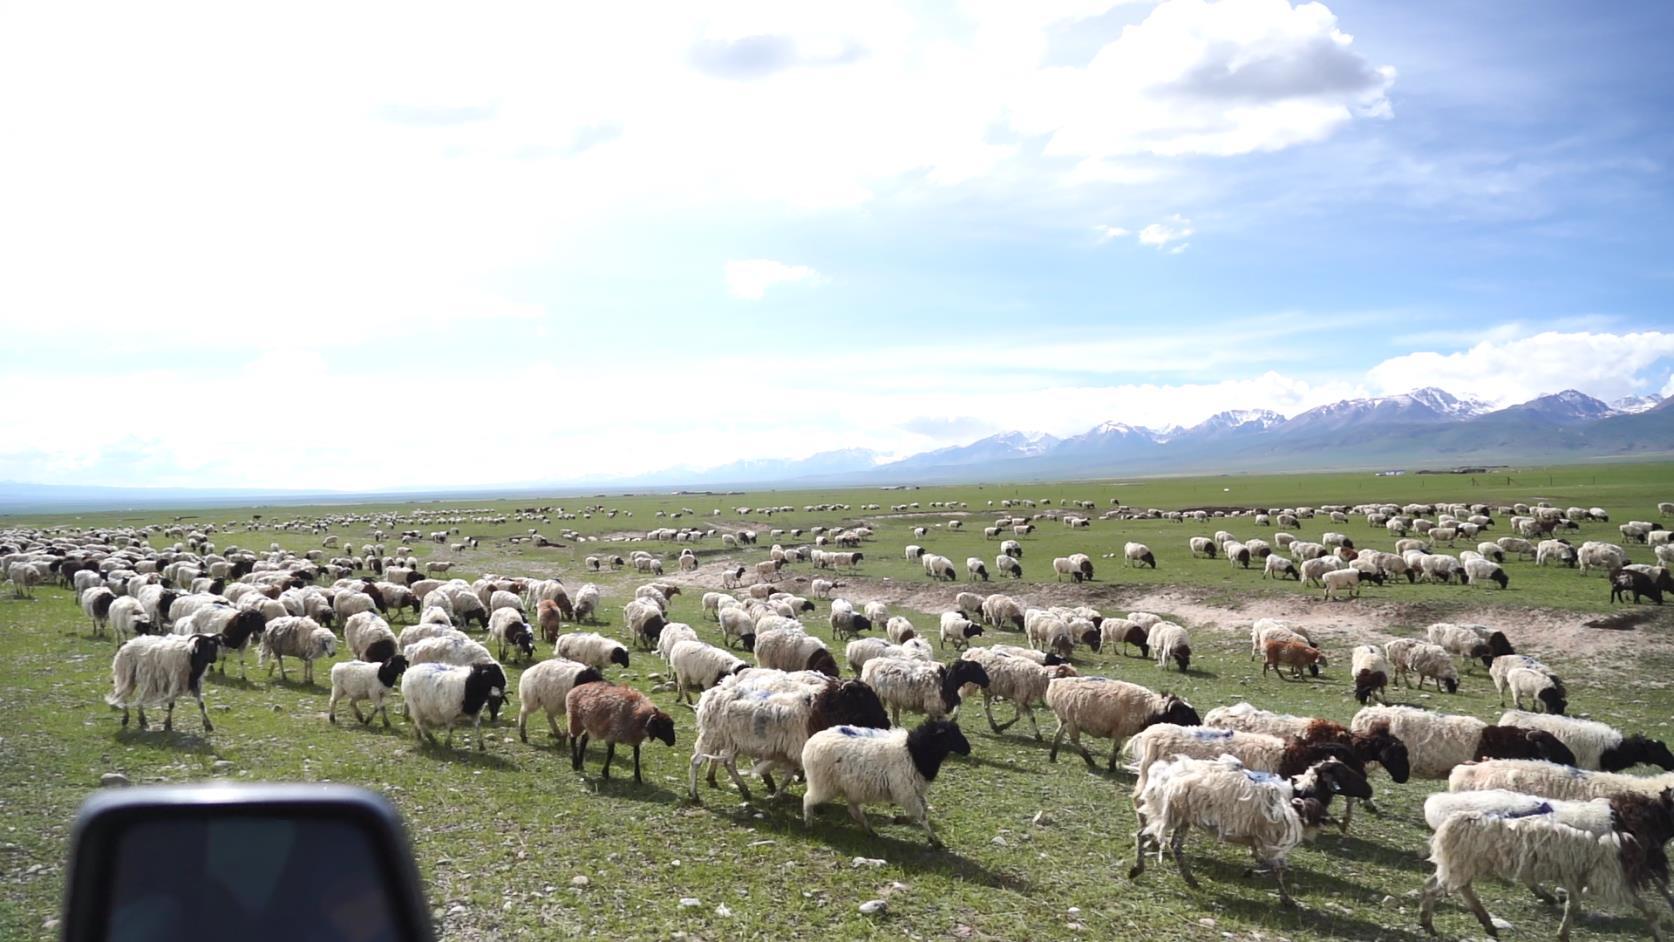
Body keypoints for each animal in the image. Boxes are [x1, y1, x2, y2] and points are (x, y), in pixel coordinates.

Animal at [803, 719, 977, 849]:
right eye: (951, 735)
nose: (968, 749)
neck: (915, 751)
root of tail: (810, 743)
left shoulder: (913, 791)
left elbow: (923, 810)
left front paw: (901, 820)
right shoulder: (905, 791)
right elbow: (922, 814)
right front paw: (934, 840)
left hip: (851, 789)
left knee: (854, 810)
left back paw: (870, 831)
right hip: (824, 784)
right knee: (808, 798)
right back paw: (808, 823)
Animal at [863, 659, 991, 726]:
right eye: (975, 670)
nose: (987, 681)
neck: (946, 680)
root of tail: (869, 664)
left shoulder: (934, 710)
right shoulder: (935, 708)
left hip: (894, 700)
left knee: (895, 719)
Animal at [1037, 679, 1198, 773]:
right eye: (1184, 713)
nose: (1199, 724)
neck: (1149, 709)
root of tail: (1055, 684)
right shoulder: (1120, 730)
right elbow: (1116, 748)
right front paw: (1112, 766)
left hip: (1065, 719)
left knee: (1058, 734)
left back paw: (1053, 756)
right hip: (1071, 720)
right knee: (1074, 740)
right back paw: (1089, 761)